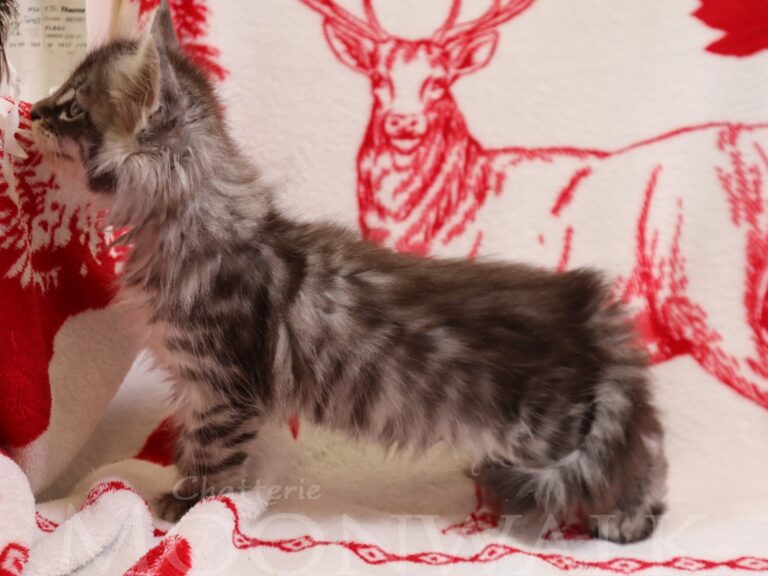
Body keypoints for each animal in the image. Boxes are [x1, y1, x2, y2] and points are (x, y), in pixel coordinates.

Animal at [29, 3, 667, 543]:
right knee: (647, 454)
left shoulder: (223, 386)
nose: (32, 110)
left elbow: (211, 454)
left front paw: (188, 506)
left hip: (547, 430)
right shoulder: (200, 385)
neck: (192, 223)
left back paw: (623, 522)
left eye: (72, 108)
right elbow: (196, 446)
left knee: (623, 466)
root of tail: (589, 307)